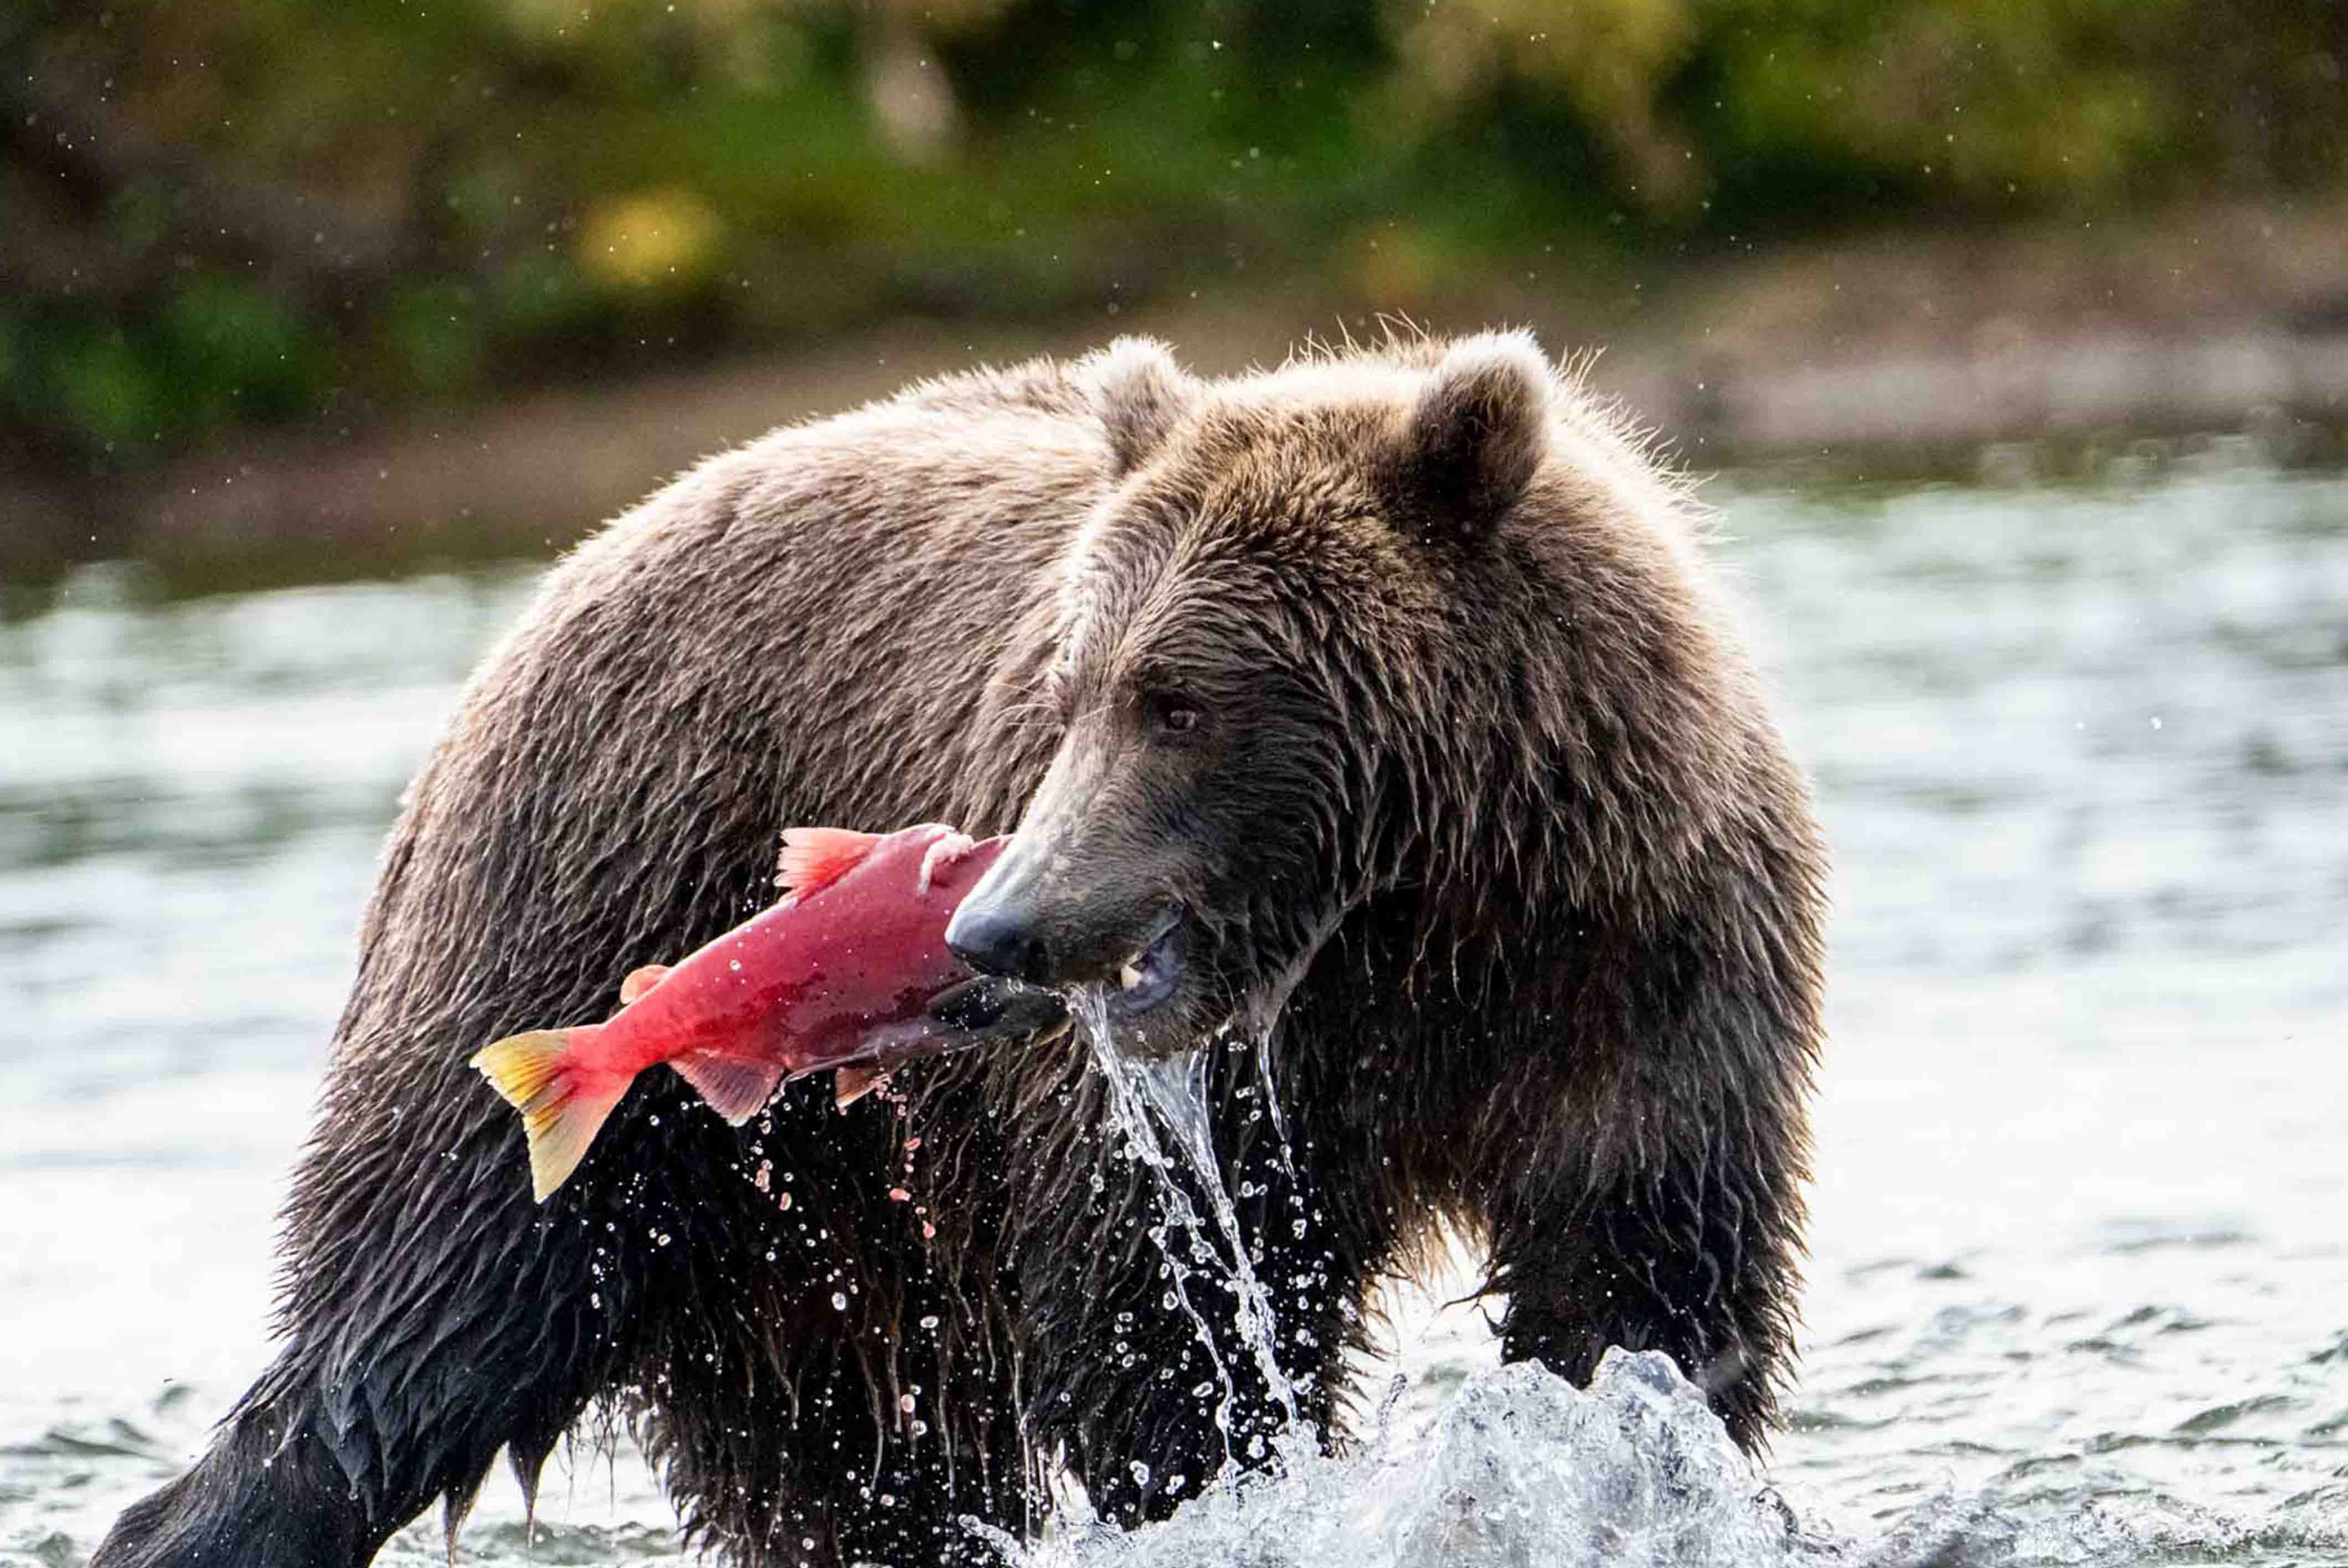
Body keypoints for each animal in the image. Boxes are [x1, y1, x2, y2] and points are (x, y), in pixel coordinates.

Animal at [93, 330, 1826, 1568]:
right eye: (1069, 687)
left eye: (1178, 699)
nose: (1001, 924)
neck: (1425, 920)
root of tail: (550, 586)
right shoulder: (1202, 1095)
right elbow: (1167, 1336)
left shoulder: (1642, 968)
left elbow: (1644, 1286)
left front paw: (1635, 1461)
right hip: (576, 915)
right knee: (424, 1300)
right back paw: (205, 1518)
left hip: (822, 1227)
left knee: (856, 1468)